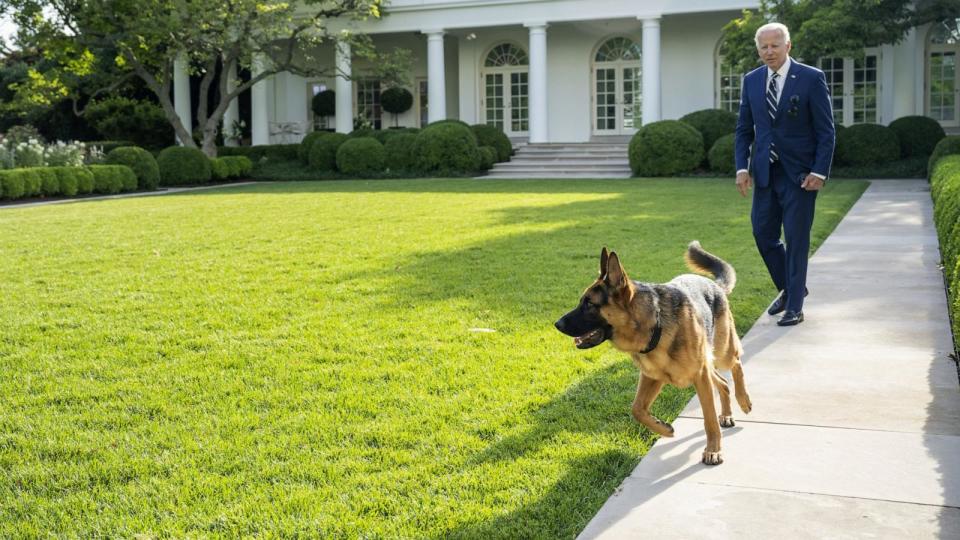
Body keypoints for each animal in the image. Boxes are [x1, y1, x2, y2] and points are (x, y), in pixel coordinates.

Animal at [556, 242, 752, 464]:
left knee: (736, 364)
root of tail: (714, 285)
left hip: (722, 352)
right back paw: (727, 415)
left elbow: (709, 419)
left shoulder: (700, 376)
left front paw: (713, 450)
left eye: (589, 304)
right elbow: (637, 409)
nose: (557, 324)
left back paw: (744, 400)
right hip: (708, 366)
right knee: (724, 383)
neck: (653, 324)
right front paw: (664, 429)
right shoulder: (652, 377)